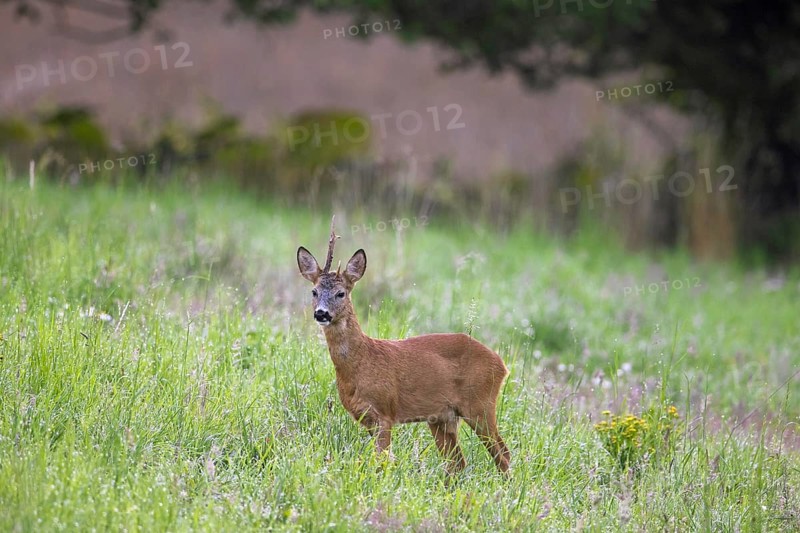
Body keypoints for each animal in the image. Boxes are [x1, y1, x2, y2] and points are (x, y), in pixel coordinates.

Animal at [296, 218, 510, 474]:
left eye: (341, 293)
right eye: (314, 291)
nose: (321, 313)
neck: (360, 362)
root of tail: (501, 364)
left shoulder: (384, 411)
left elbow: (382, 460)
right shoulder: (367, 418)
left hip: (480, 403)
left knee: (503, 454)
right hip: (442, 417)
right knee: (458, 462)